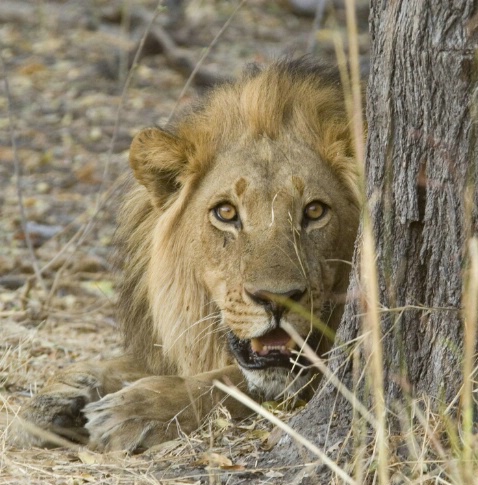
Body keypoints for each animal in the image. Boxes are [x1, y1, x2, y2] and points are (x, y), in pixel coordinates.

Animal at [13, 58, 360, 452]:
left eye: (315, 211)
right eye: (226, 213)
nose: (276, 299)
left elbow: (223, 381)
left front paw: (135, 409)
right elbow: (104, 365)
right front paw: (52, 401)